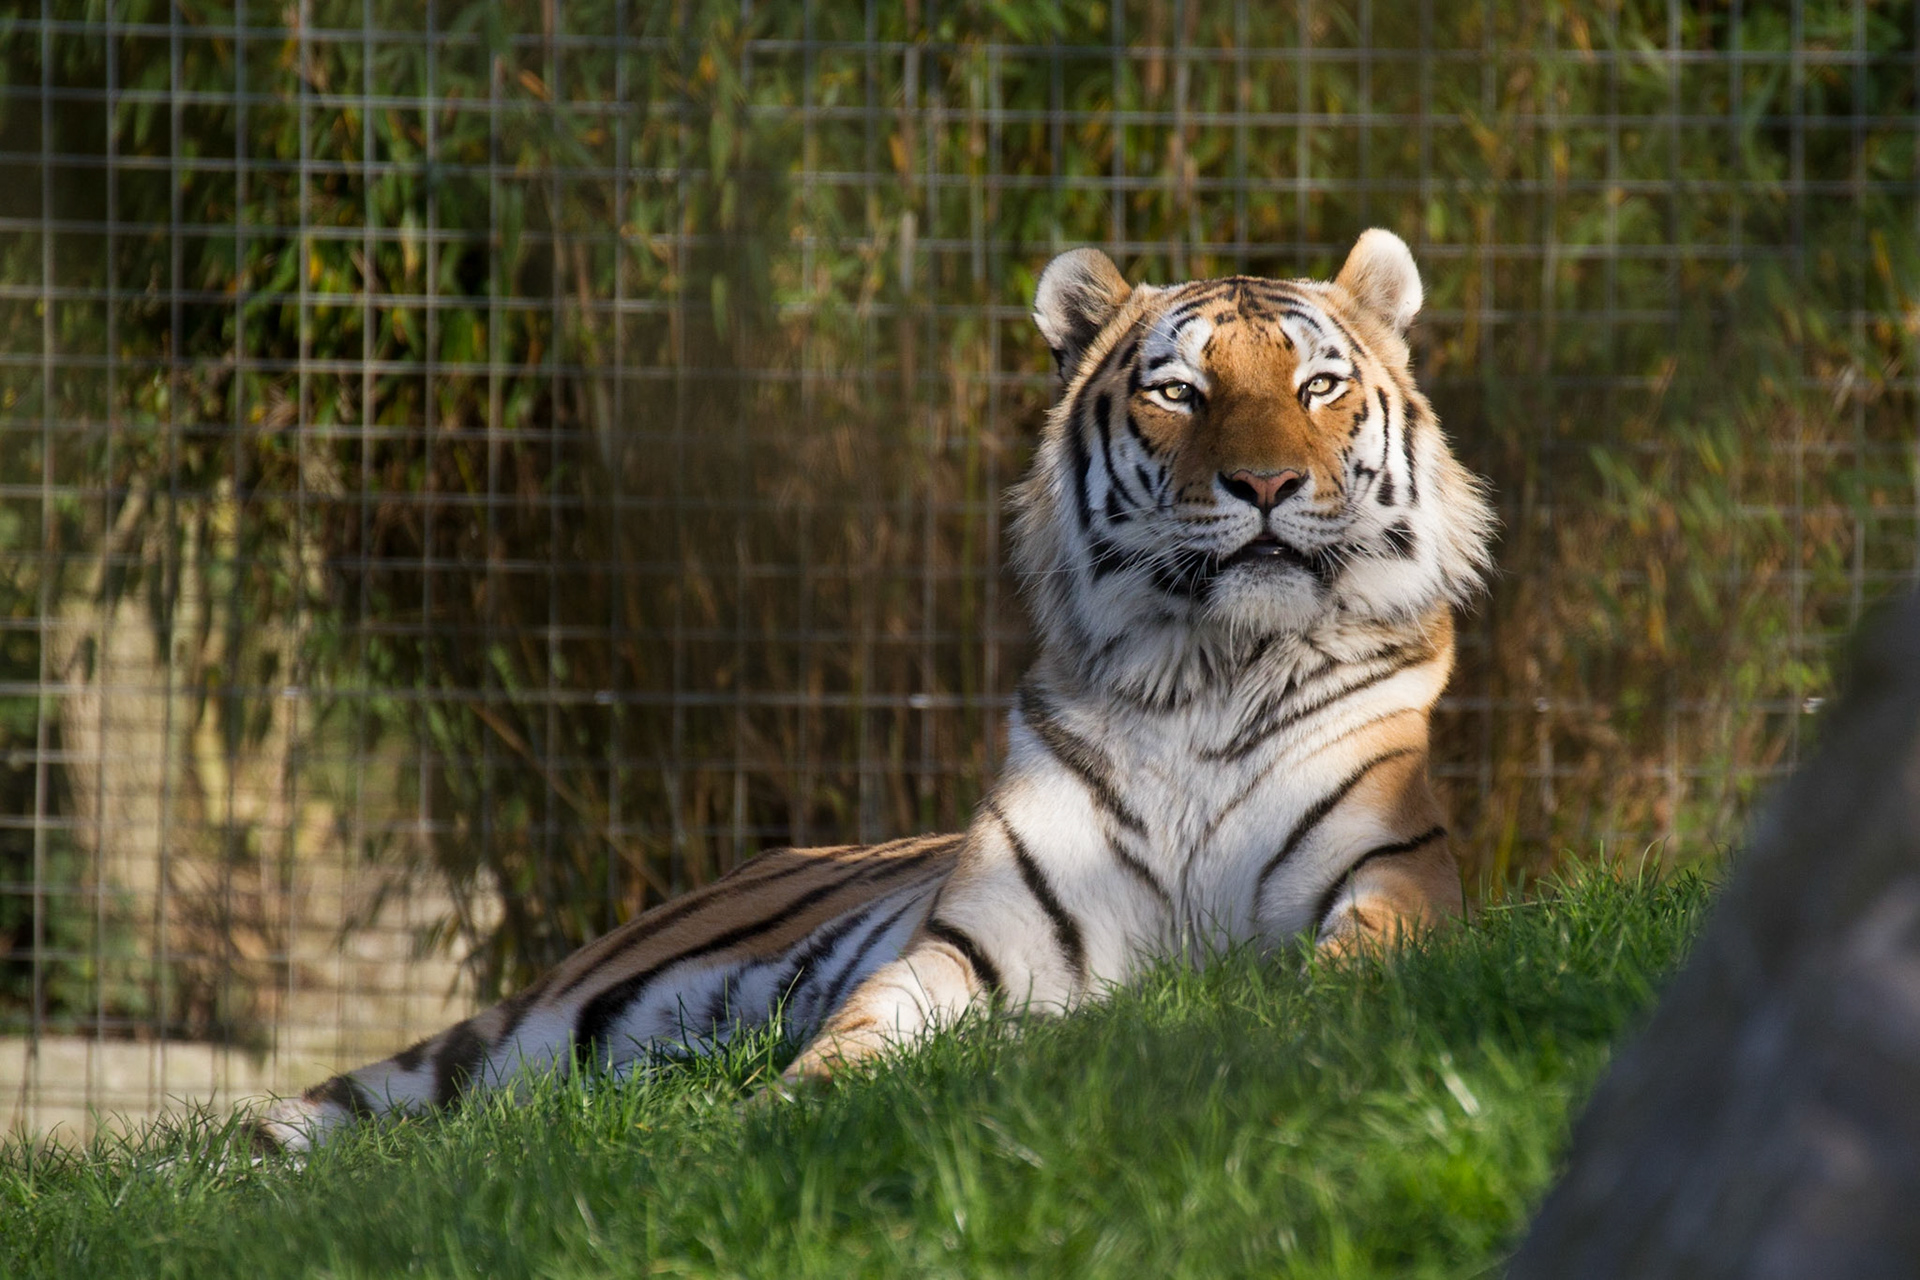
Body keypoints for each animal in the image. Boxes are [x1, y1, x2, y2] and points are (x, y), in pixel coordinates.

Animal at [254, 228, 1494, 1152]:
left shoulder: (1393, 882)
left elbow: (1342, 972)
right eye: (1181, 392)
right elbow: (858, 1030)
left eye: (1319, 384)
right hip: (531, 1027)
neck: (1209, 670)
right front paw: (781, 1111)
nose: (1268, 483)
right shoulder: (981, 948)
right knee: (344, 1104)